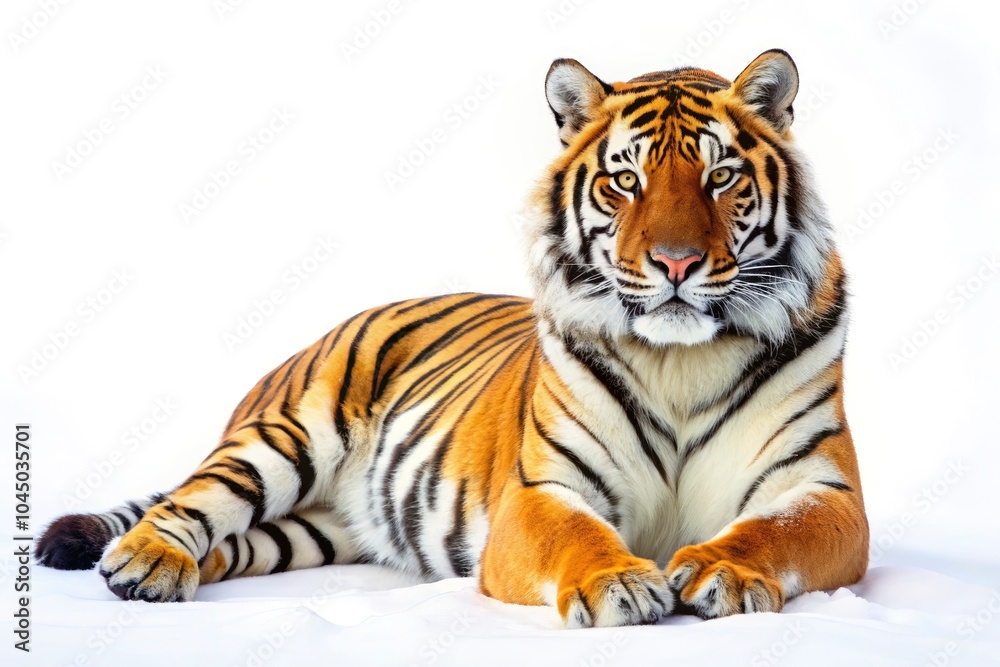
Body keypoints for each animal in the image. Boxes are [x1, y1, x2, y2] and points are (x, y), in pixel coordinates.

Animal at [36, 49, 869, 627]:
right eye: (625, 181)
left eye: (720, 177)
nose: (675, 262)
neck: (679, 361)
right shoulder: (539, 491)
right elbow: (580, 536)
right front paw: (621, 581)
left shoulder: (824, 489)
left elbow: (775, 531)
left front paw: (722, 570)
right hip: (287, 433)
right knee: (194, 499)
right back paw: (146, 562)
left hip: (314, 528)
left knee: (237, 540)